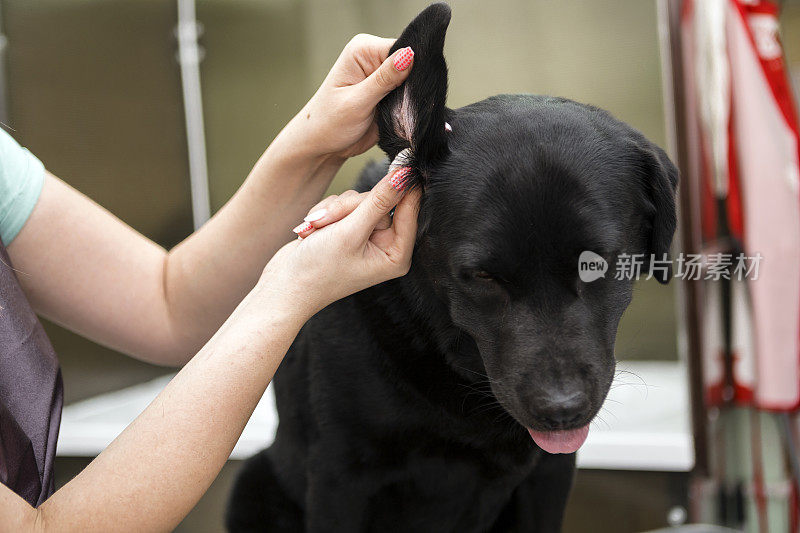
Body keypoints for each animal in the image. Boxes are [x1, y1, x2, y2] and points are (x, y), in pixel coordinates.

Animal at [228, 4, 680, 532]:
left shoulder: (549, 476)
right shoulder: (340, 478)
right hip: (252, 481)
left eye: (595, 265)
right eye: (482, 276)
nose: (561, 410)